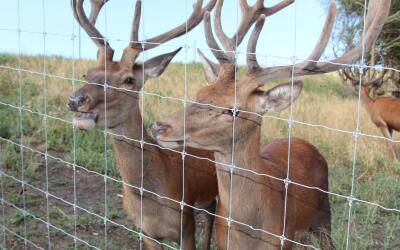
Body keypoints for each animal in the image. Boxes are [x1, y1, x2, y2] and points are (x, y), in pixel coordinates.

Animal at [151, 0, 390, 248]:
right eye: (200, 93)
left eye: (233, 110)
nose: (159, 127)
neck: (249, 231)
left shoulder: (283, 240)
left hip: (324, 214)